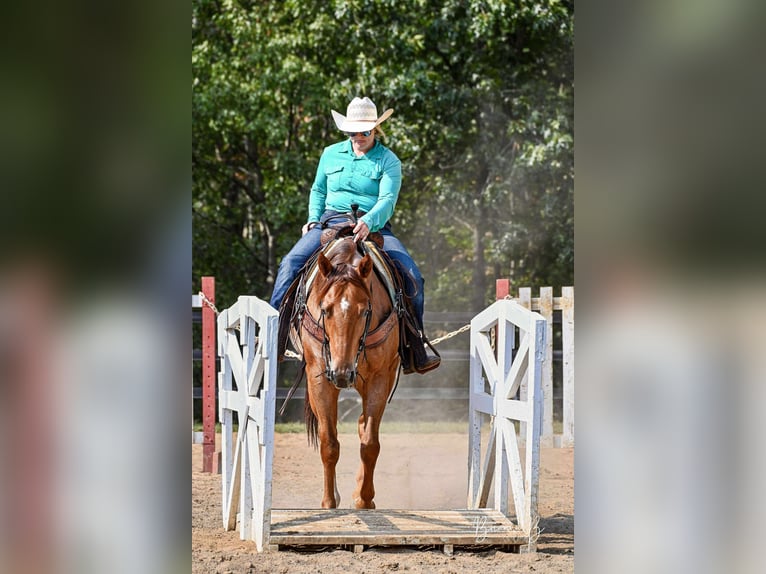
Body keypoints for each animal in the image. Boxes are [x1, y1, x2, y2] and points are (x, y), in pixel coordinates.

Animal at [299, 236, 400, 509]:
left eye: (365, 311)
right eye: (325, 309)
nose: (342, 374)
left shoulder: (380, 378)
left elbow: (370, 443)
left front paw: (364, 499)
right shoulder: (320, 378)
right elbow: (329, 443)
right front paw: (328, 501)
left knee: (363, 425)